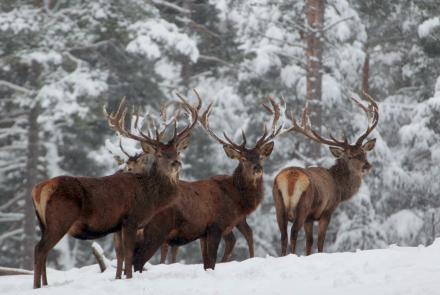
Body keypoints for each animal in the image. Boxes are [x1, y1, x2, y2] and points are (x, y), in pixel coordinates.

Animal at [31, 95, 200, 290]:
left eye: (177, 151)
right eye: (159, 154)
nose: (176, 163)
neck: (151, 197)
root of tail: (39, 189)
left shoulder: (118, 225)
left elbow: (119, 253)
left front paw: (119, 278)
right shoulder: (131, 219)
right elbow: (129, 253)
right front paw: (129, 279)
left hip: (43, 222)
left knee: (44, 251)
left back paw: (44, 284)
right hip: (61, 218)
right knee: (40, 249)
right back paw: (37, 286)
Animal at [132, 97, 282, 272]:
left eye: (260, 156)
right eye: (243, 159)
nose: (257, 168)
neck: (235, 198)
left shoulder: (204, 232)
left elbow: (206, 262)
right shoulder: (215, 226)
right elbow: (211, 262)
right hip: (156, 229)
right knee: (138, 260)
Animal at [272, 92, 378, 256]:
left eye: (363, 152)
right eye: (349, 156)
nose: (367, 166)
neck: (340, 189)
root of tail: (290, 178)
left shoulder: (309, 218)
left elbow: (309, 242)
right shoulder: (326, 211)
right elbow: (320, 241)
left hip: (278, 205)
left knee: (283, 235)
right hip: (303, 205)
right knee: (293, 232)